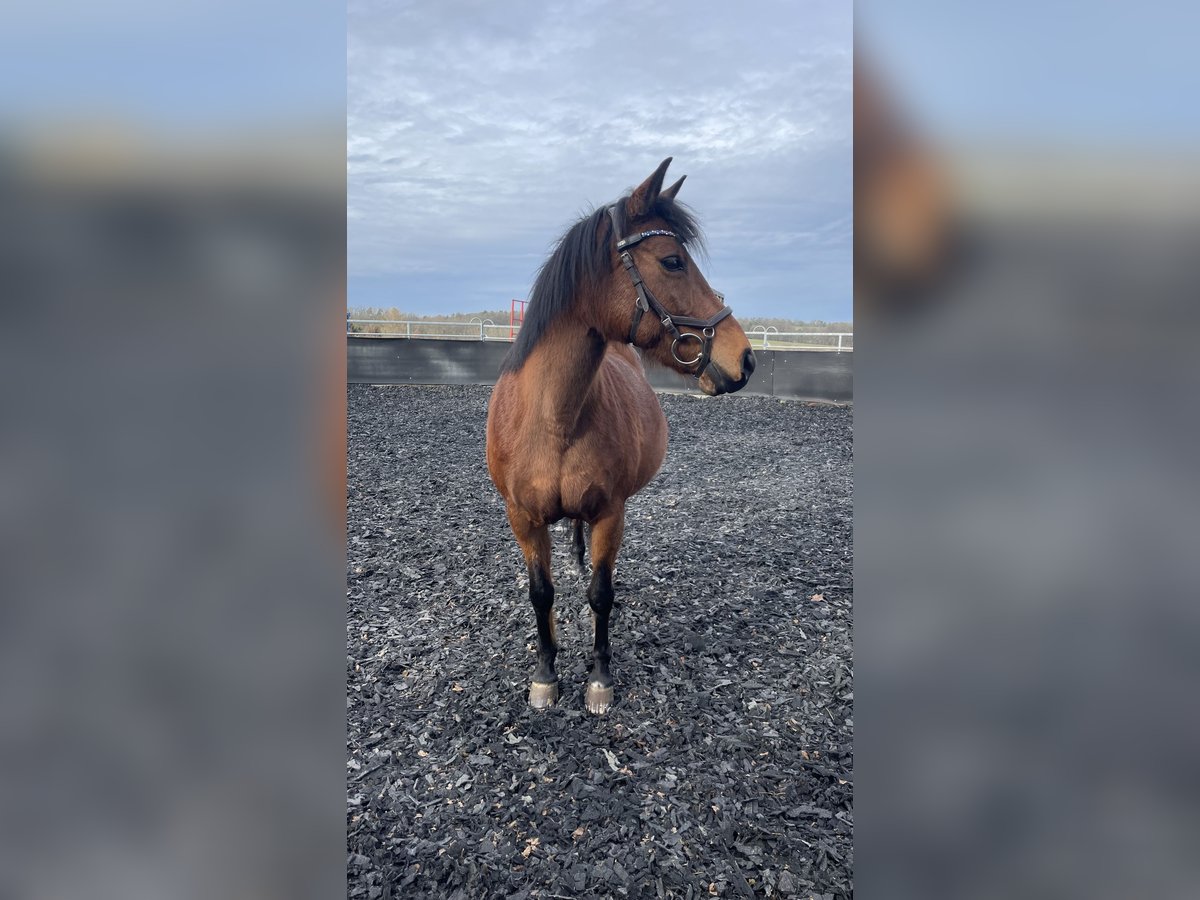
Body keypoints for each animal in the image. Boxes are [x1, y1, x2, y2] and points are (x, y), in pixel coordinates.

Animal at [484, 157, 748, 720]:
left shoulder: (611, 513)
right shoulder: (522, 518)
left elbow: (601, 594)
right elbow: (541, 594)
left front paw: (599, 679)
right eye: (672, 261)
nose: (745, 358)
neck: (553, 419)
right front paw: (546, 674)